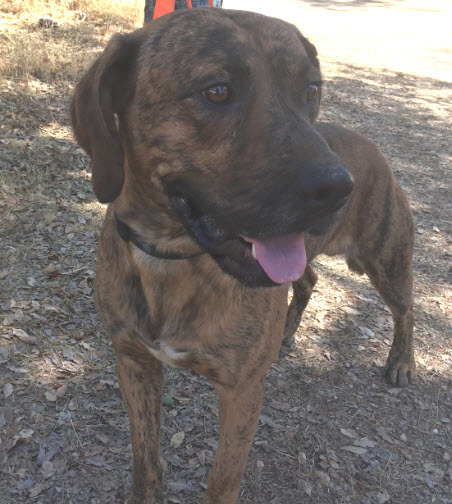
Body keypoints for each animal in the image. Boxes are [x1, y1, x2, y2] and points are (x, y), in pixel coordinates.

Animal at [71, 7, 416, 504]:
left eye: (311, 91)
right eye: (217, 91)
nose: (338, 188)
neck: (173, 259)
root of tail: (373, 149)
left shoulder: (242, 392)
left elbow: (222, 479)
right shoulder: (135, 365)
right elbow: (146, 462)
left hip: (385, 258)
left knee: (406, 309)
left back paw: (401, 362)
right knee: (308, 280)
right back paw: (289, 332)